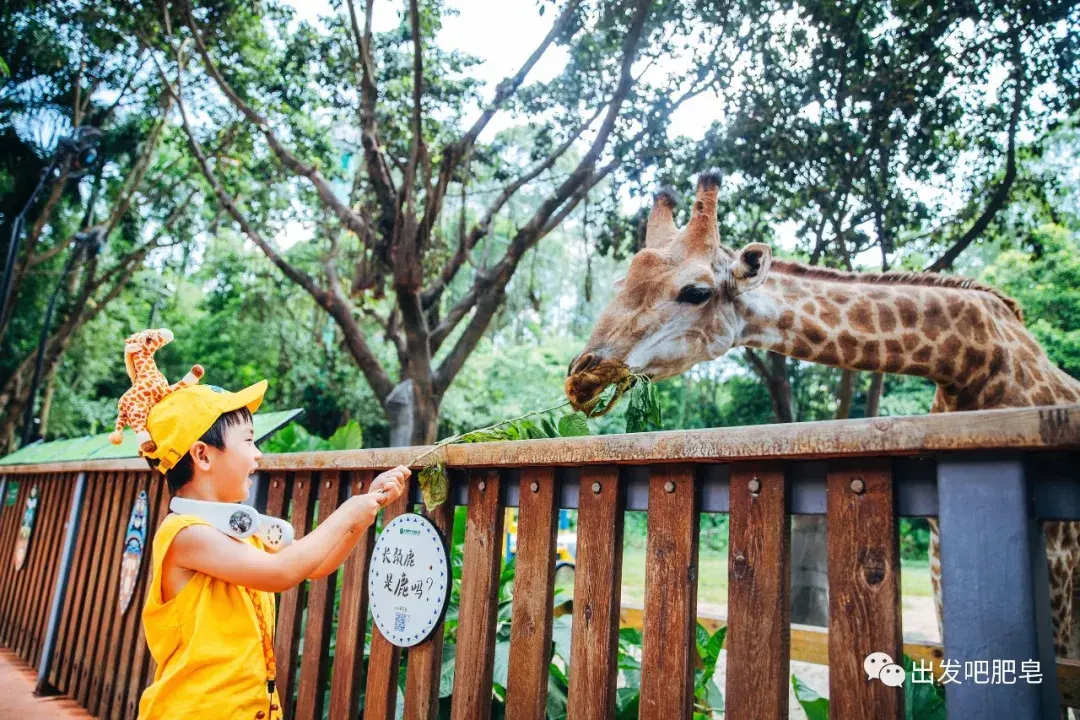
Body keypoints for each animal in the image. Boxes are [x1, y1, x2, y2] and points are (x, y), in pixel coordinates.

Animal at [565, 169, 1080, 660]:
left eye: (696, 292)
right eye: (621, 285)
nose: (581, 375)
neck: (971, 362)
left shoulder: (1056, 559)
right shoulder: (940, 560)